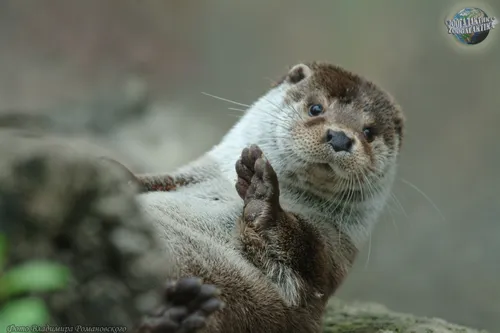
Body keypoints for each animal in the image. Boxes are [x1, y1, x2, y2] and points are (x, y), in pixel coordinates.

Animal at [127, 61, 404, 330]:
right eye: (316, 108)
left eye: (369, 132)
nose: (340, 137)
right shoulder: (191, 175)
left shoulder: (328, 259)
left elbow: (299, 261)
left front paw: (261, 191)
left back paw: (175, 314)